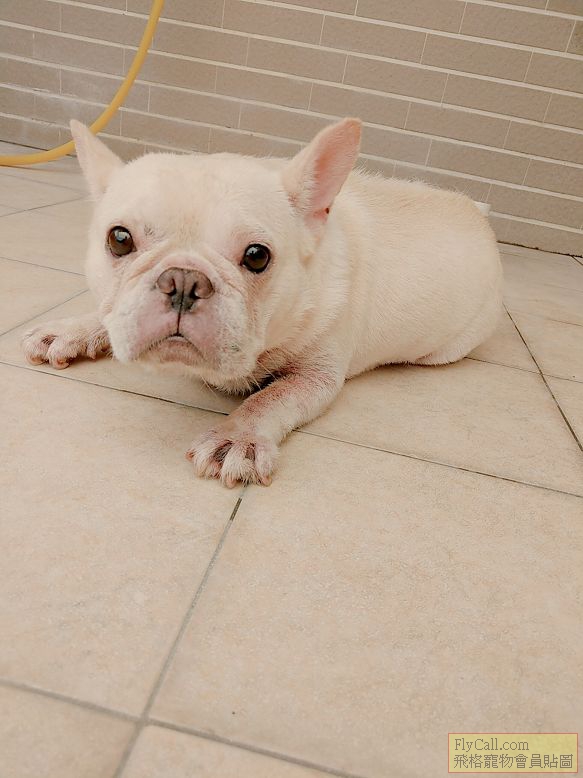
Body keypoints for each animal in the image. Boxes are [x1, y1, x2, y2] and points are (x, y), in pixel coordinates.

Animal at [23, 118, 502, 487]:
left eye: (257, 256)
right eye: (119, 239)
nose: (184, 280)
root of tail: (477, 213)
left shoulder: (317, 376)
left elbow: (271, 398)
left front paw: (238, 437)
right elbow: (108, 314)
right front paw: (73, 329)